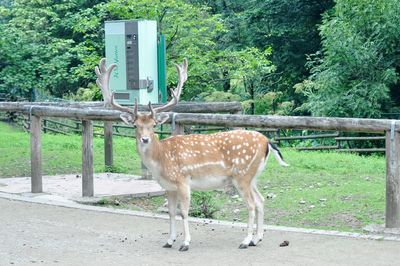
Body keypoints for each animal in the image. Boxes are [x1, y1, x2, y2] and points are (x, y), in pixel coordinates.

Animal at [97, 57, 290, 251]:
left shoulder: (183, 180)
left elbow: (183, 212)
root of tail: (267, 142)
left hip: (242, 175)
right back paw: (256, 239)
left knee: (251, 204)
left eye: (153, 125)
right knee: (260, 200)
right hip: (252, 176)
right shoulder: (169, 187)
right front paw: (169, 241)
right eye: (136, 125)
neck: (161, 160)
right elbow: (171, 212)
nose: (145, 139)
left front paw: (185, 243)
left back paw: (245, 241)